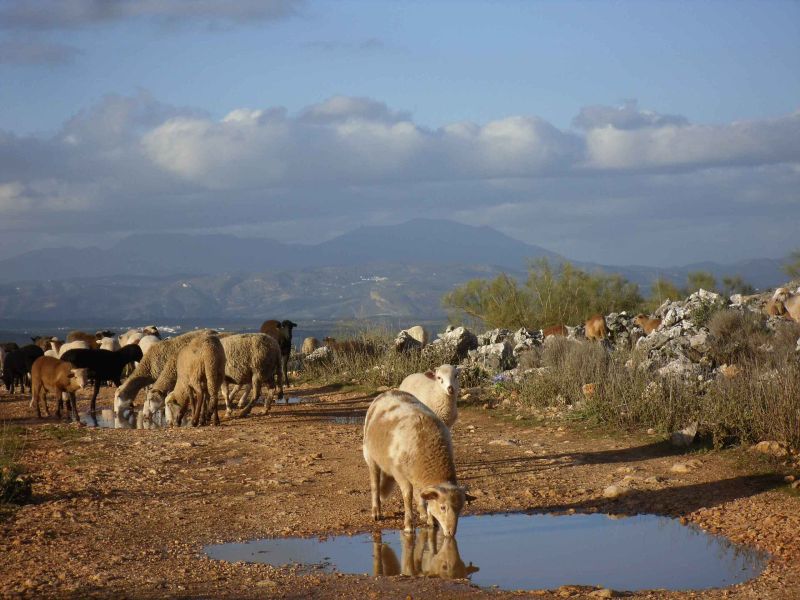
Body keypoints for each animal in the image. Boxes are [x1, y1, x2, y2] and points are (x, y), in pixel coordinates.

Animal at [363, 390, 473, 536]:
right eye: (443, 507)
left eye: (460, 509)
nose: (451, 533)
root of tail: (390, 391)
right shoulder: (400, 474)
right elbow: (407, 496)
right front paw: (409, 525)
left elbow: (425, 497)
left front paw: (431, 521)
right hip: (370, 456)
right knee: (375, 484)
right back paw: (376, 512)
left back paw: (423, 514)